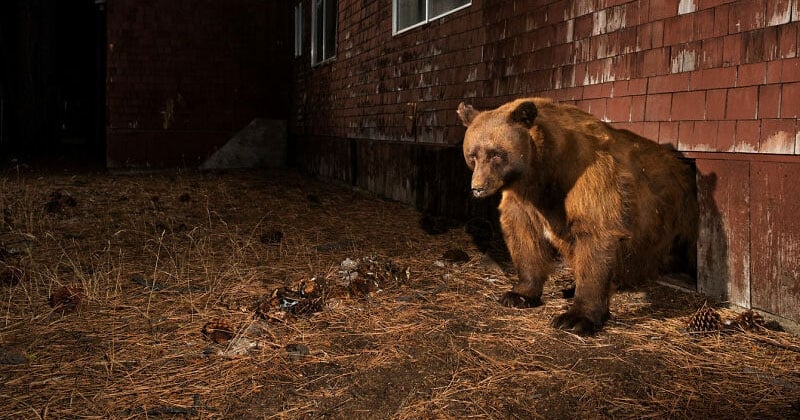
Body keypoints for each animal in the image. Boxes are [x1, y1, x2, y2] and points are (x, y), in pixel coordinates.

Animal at [460, 98, 696, 334]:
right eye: (472, 155)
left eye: (496, 154)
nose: (477, 188)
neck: (543, 172)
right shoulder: (524, 200)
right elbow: (524, 236)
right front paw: (518, 294)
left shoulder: (587, 177)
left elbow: (596, 234)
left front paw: (575, 318)